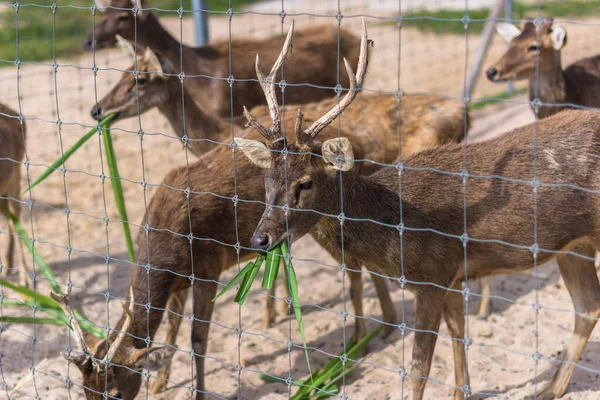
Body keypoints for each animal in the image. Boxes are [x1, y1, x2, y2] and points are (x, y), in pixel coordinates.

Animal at [67, 21, 474, 400]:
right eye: (84, 390)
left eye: (139, 79)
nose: (96, 109)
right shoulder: (183, 278)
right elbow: (170, 330)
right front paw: (161, 382)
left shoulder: (209, 266)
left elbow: (198, 339)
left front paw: (199, 389)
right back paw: (383, 326)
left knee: (356, 267)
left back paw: (367, 336)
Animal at [237, 18, 600, 400]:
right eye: (266, 179)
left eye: (305, 183)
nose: (260, 239)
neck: (395, 222)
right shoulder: (452, 276)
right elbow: (459, 334)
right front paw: (461, 393)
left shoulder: (432, 275)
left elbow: (418, 367)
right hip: (572, 245)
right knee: (587, 306)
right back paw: (550, 389)